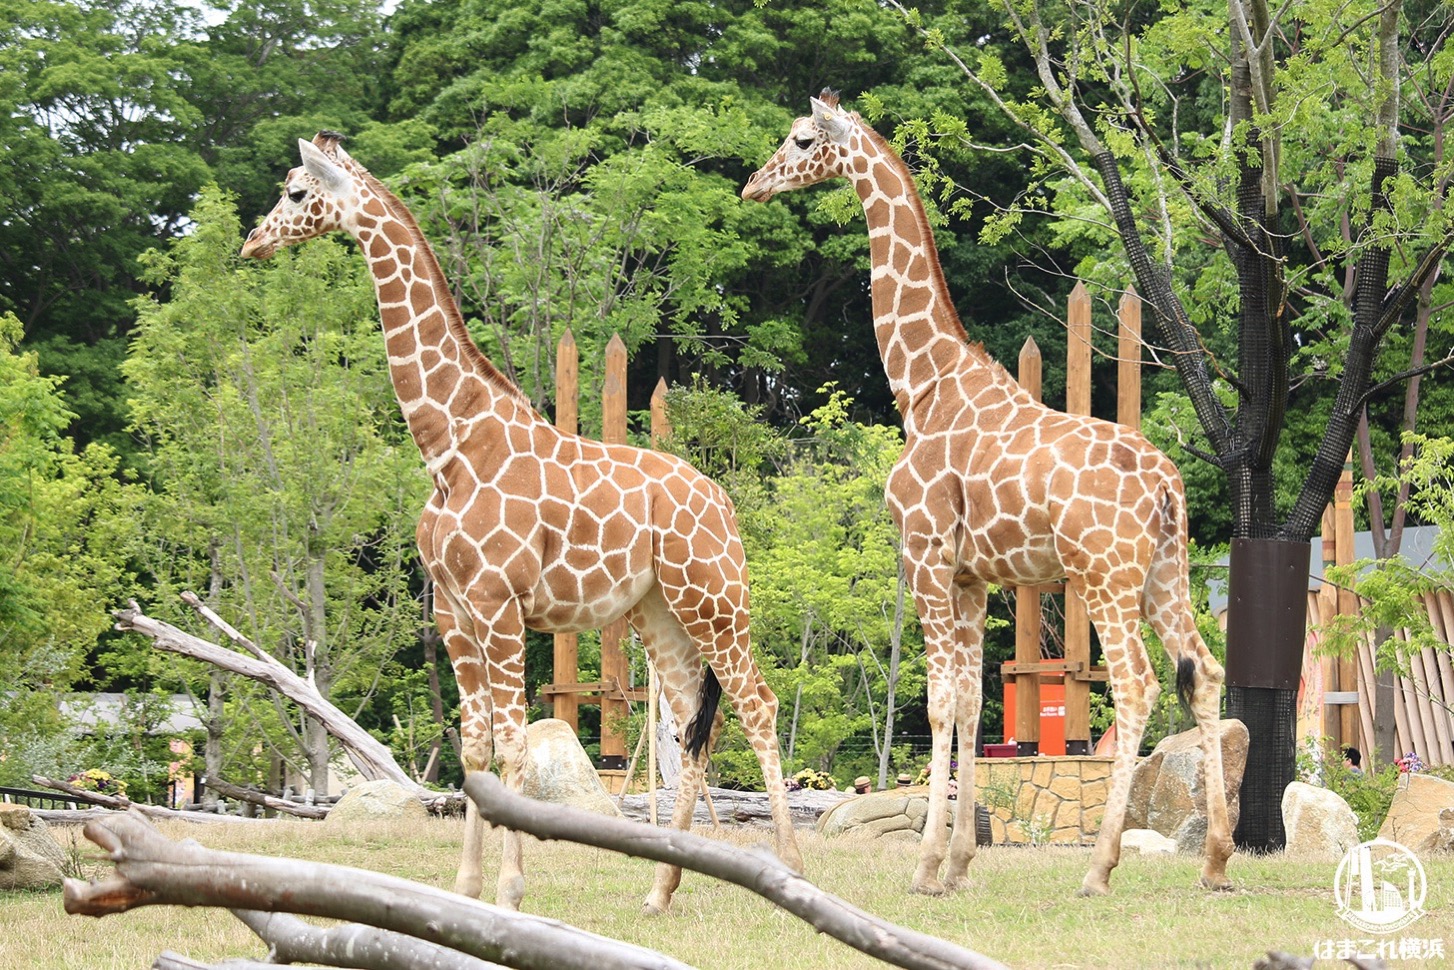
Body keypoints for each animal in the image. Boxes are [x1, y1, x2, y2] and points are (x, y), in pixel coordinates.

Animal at [241, 133, 808, 913]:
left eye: (297, 192)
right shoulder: (454, 610)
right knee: (695, 719)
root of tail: (723, 502)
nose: (252, 242)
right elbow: (474, 747)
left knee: (757, 704)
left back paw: (792, 870)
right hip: (658, 610)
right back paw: (659, 892)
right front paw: (467, 886)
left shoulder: (499, 604)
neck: (447, 446)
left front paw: (510, 890)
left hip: (715, 598)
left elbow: (512, 745)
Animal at [744, 94, 1232, 901]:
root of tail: (1166, 481)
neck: (922, 385)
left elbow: (941, 701)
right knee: (1205, 673)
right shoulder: (972, 577)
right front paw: (958, 864)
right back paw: (1218, 861)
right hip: (1167, 573)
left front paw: (923, 869)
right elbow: (973, 703)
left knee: (1136, 686)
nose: (754, 185)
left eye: (802, 139)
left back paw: (1099, 868)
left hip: (1105, 576)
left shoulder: (925, 555)